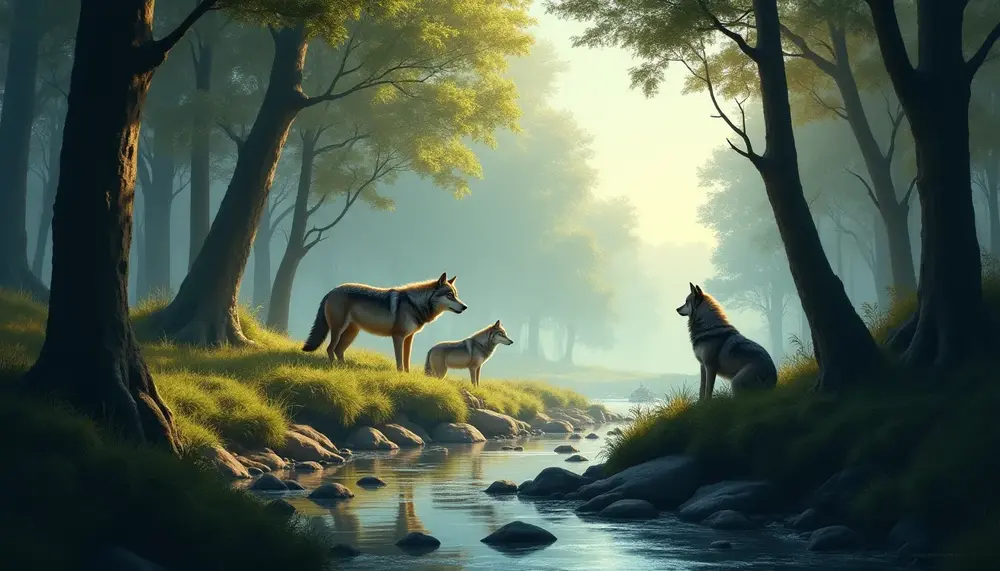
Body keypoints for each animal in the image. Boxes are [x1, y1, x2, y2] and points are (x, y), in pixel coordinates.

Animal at [301, 272, 467, 372]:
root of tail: (332, 290)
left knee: (338, 350)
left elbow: (407, 361)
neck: (414, 304)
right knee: (330, 348)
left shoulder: (409, 338)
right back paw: (334, 368)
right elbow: (399, 361)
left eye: (456, 295)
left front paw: (407, 376)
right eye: (449, 295)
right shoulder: (398, 336)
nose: (465, 307)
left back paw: (344, 369)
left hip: (351, 333)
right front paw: (400, 375)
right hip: (338, 329)